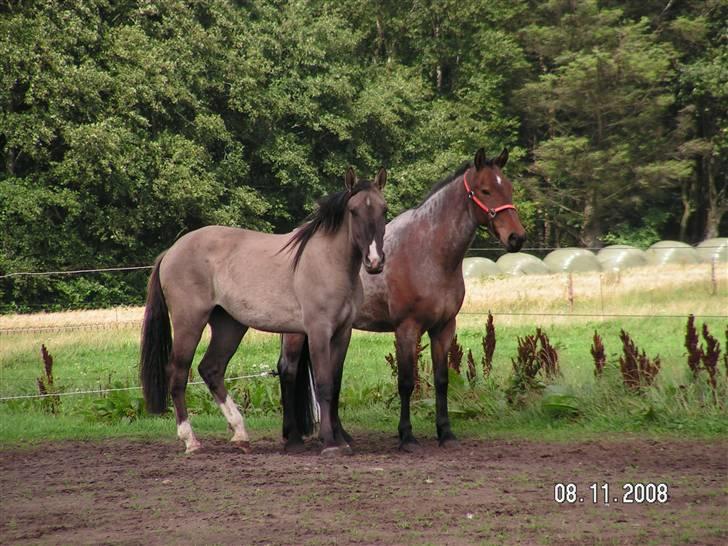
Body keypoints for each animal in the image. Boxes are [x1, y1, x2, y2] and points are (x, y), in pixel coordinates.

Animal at [138, 167, 386, 454]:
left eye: (384, 209)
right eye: (354, 211)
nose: (375, 261)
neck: (329, 262)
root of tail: (170, 252)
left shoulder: (343, 333)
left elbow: (335, 386)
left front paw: (341, 439)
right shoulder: (318, 331)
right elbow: (324, 384)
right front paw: (330, 442)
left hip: (229, 325)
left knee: (211, 369)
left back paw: (240, 433)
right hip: (189, 322)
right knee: (178, 374)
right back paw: (191, 440)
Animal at [278, 147, 524, 448]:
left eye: (509, 189)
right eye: (486, 190)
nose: (517, 237)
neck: (428, 253)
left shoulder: (444, 327)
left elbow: (442, 380)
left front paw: (446, 433)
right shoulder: (407, 328)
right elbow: (406, 382)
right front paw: (406, 436)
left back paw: (338, 435)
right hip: (296, 332)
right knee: (288, 370)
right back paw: (293, 437)